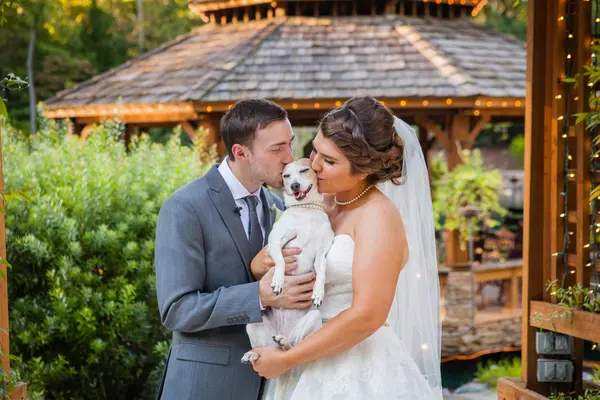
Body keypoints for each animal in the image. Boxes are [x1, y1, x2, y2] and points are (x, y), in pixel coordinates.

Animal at [241, 159, 334, 369]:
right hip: (252, 325)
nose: (294, 186)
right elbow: (281, 261)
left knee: (294, 349)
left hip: (312, 319)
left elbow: (322, 271)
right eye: (286, 176)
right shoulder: (276, 241)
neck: (306, 208)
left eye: (304, 170)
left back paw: (284, 343)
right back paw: (254, 354)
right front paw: (278, 281)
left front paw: (318, 293)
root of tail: (283, 332)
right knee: (267, 349)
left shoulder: (322, 252)